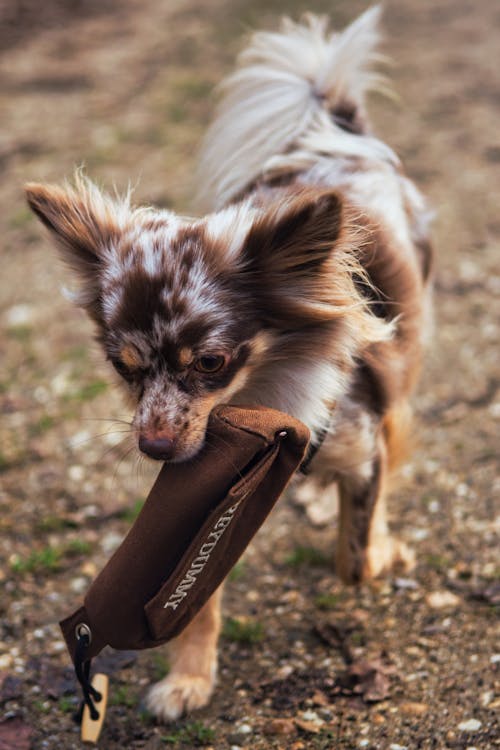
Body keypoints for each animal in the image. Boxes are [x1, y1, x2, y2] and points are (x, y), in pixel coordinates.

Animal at [25, 4, 430, 724]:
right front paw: (190, 678)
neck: (267, 399)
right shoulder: (207, 497)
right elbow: (197, 596)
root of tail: (336, 129)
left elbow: (354, 558)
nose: (154, 447)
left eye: (211, 362)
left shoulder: (361, 439)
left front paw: (381, 549)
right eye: (124, 367)